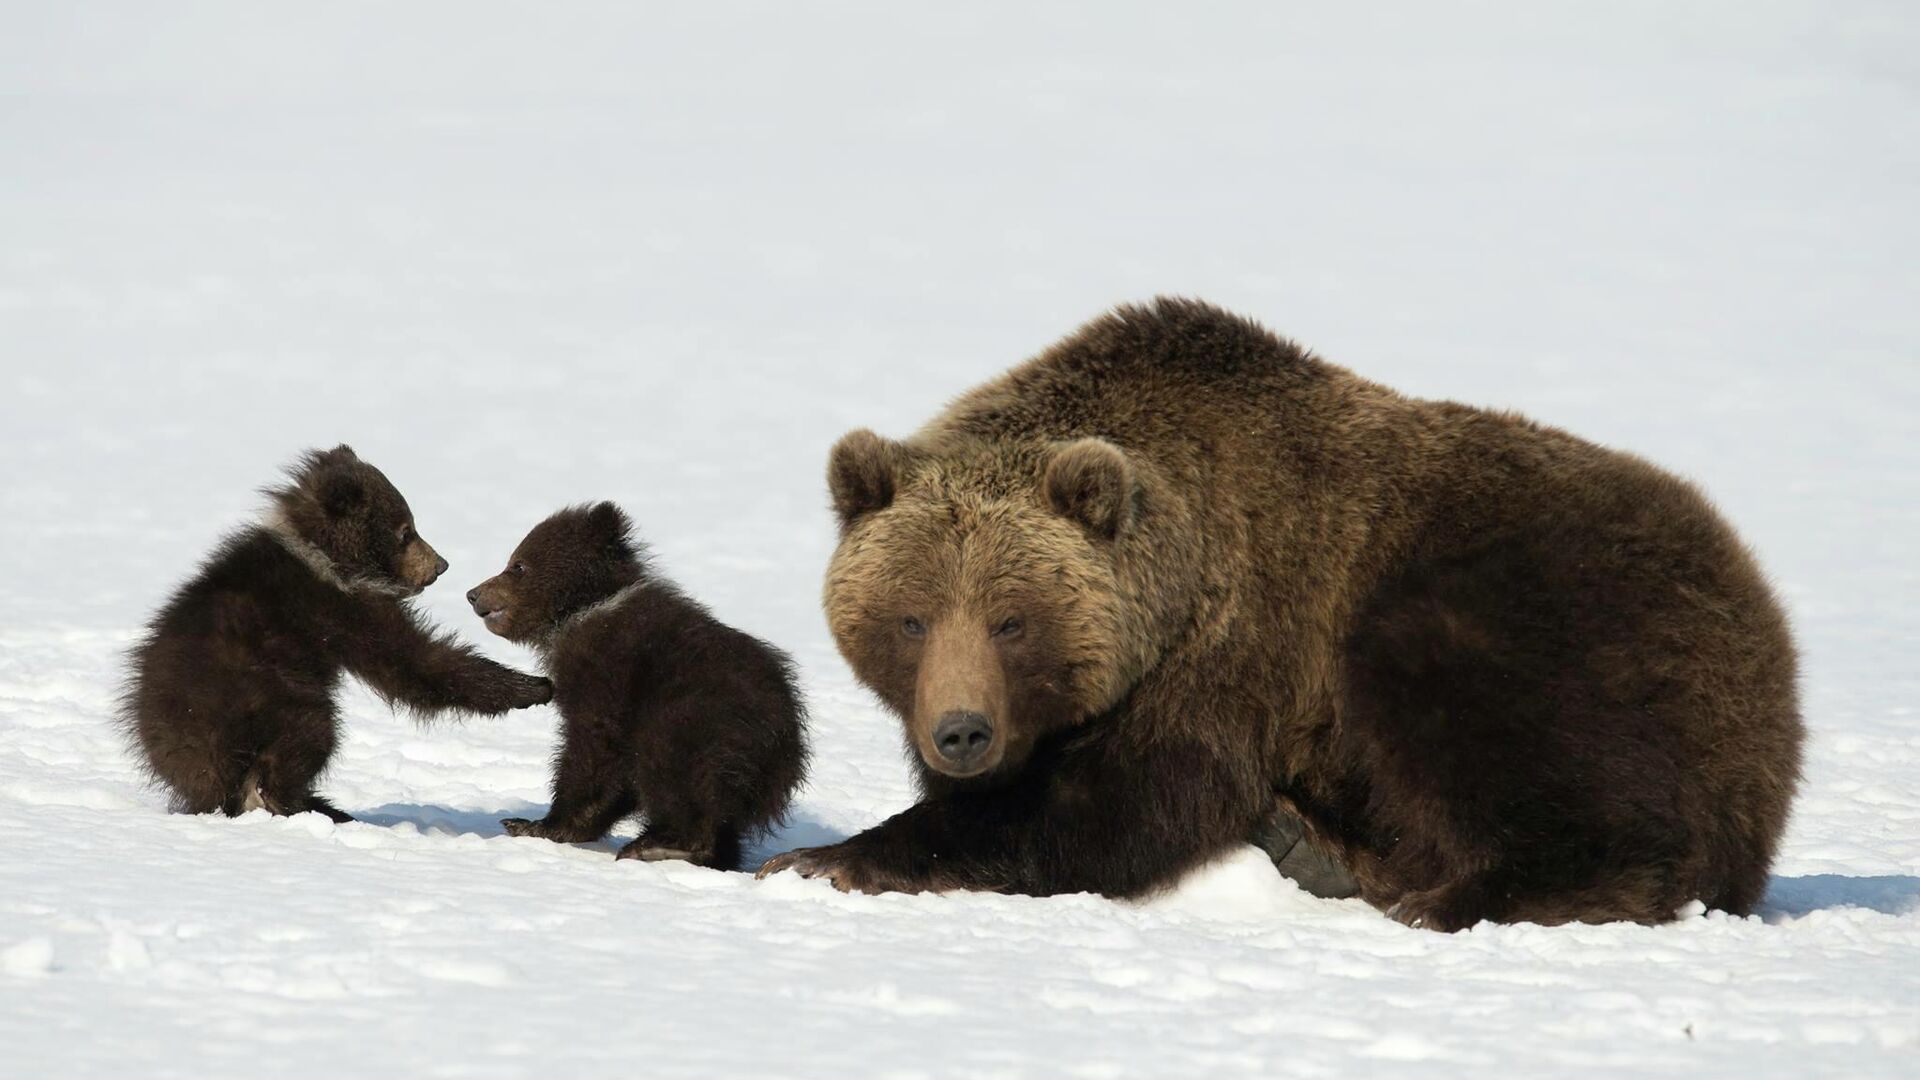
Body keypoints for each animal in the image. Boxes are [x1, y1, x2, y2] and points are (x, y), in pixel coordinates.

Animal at [756, 297, 1804, 930]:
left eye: (1013, 620)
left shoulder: (1241, 643)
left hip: (1574, 620)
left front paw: (825, 858)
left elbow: (1128, 801)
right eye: (913, 618)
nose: (962, 732)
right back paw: (1316, 846)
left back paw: (1441, 893)